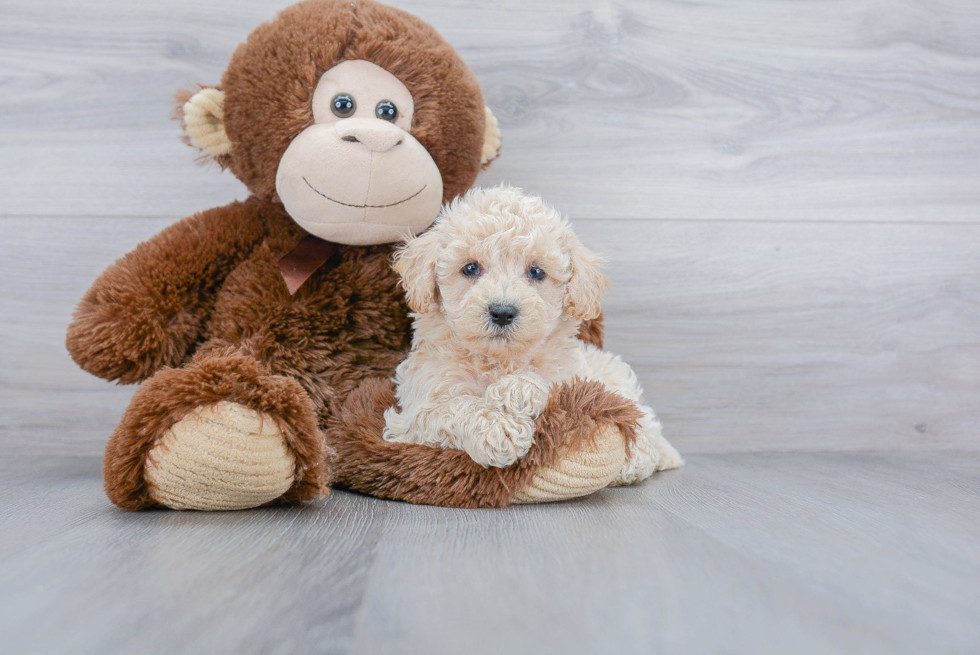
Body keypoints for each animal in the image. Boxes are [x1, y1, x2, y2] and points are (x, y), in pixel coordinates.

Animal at [382, 187, 680, 484]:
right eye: (470, 268)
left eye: (537, 272)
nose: (502, 312)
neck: (497, 361)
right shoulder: (416, 410)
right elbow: (455, 407)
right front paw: (500, 430)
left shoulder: (567, 379)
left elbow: (548, 384)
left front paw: (516, 390)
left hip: (617, 382)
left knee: (641, 422)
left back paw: (641, 459)